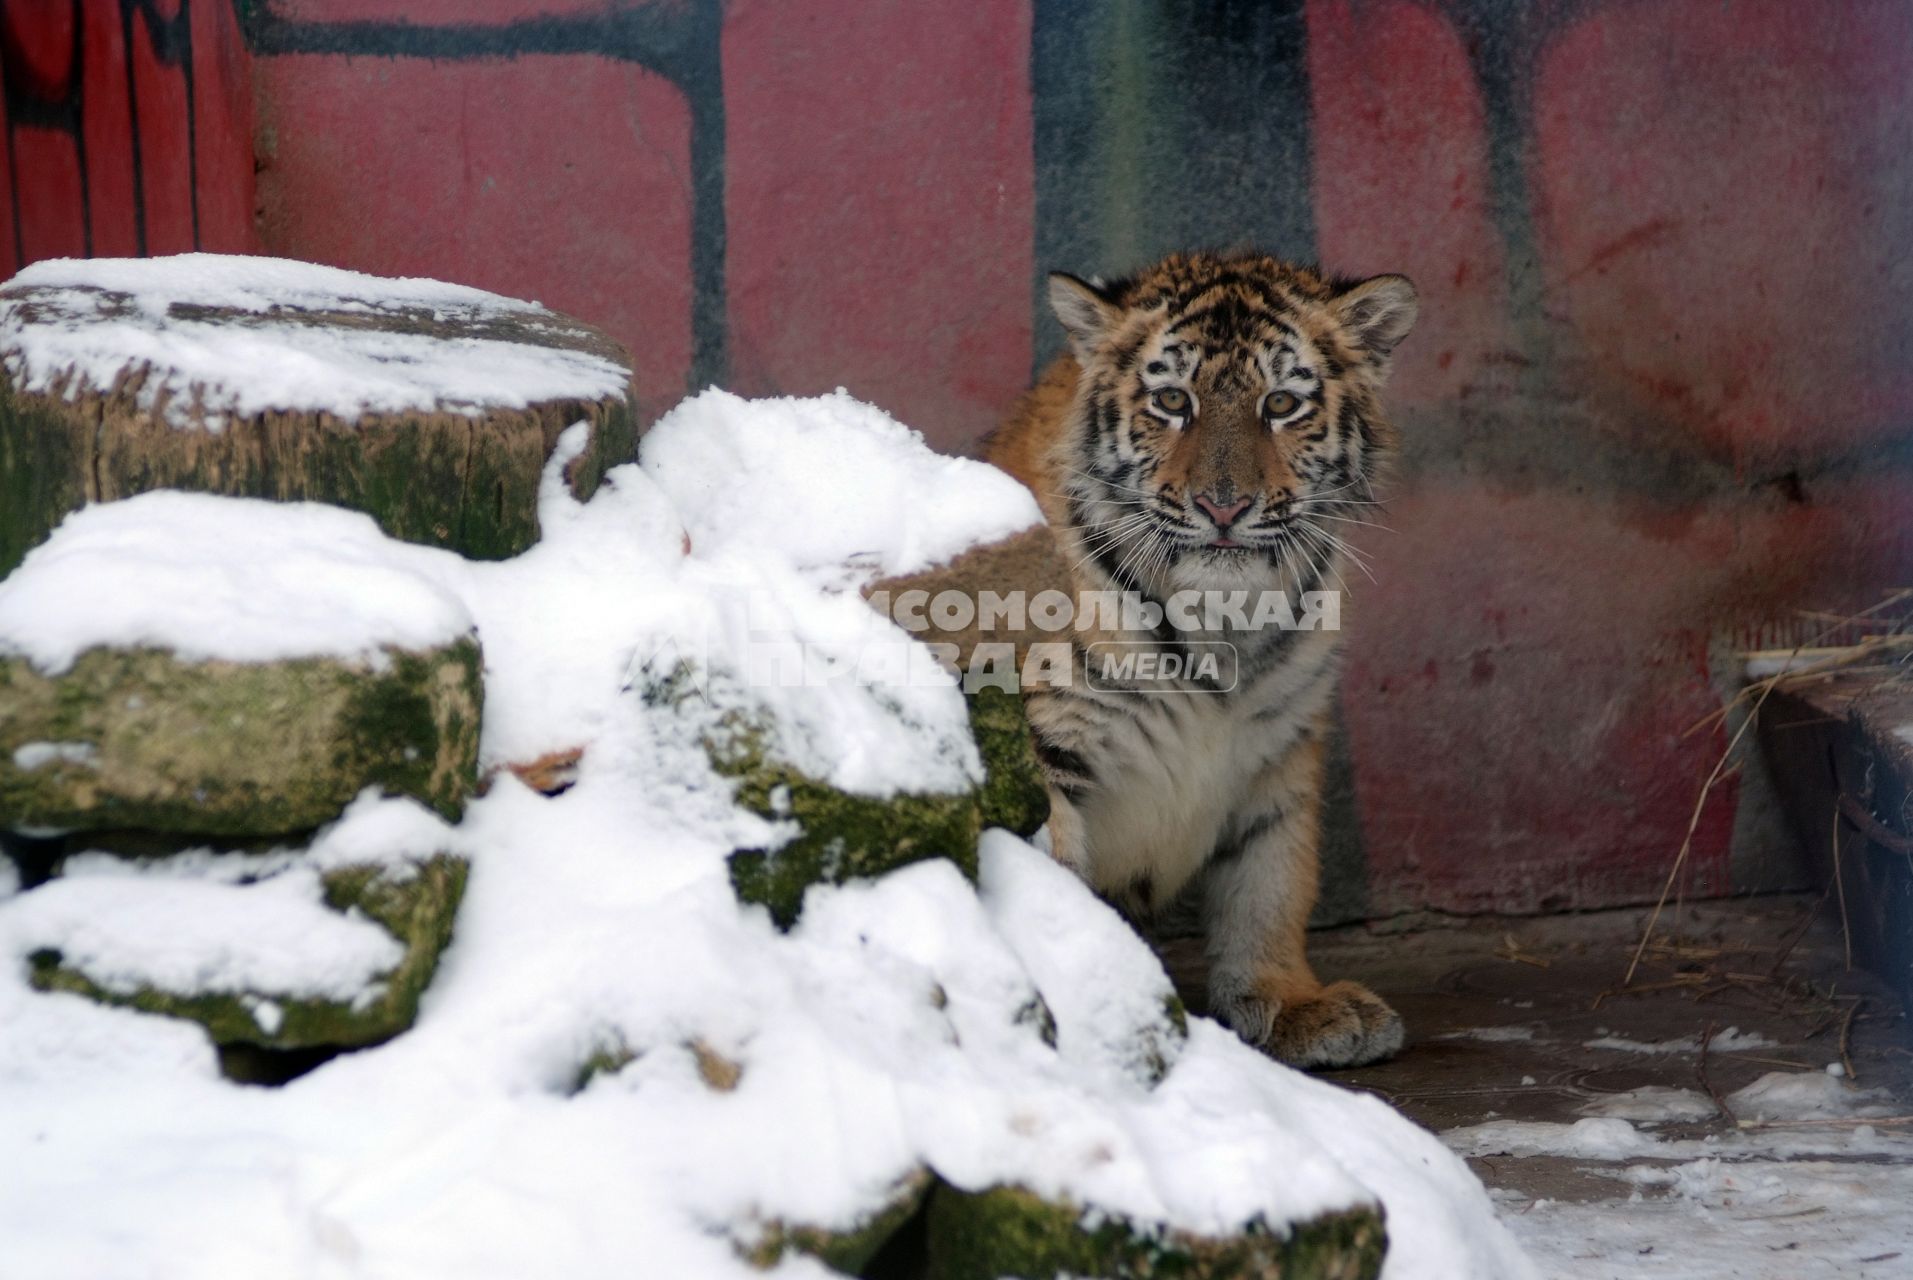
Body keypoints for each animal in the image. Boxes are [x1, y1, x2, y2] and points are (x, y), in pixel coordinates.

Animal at [987, 248, 1423, 1071]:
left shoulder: (1279, 749)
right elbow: (1048, 877)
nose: (1223, 506)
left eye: (1281, 403)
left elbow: (1271, 882)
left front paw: (1291, 1000)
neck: (1220, 624)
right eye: (1170, 400)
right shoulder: (1045, 744)